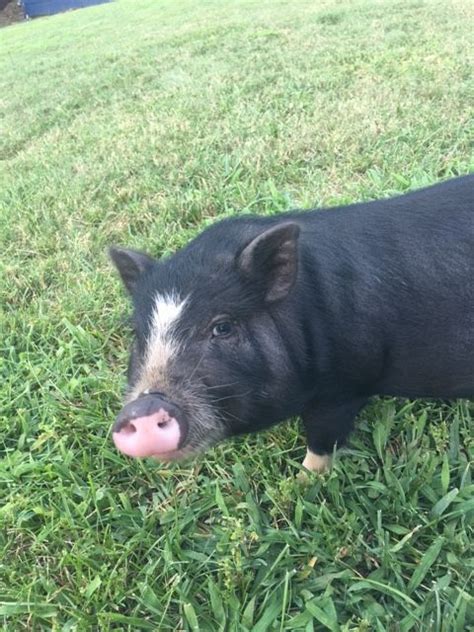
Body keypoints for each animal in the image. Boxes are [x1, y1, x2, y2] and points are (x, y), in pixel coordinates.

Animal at [108, 175, 474, 472]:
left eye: (223, 327)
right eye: (138, 334)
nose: (142, 408)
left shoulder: (342, 390)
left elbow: (322, 442)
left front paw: (304, 481)